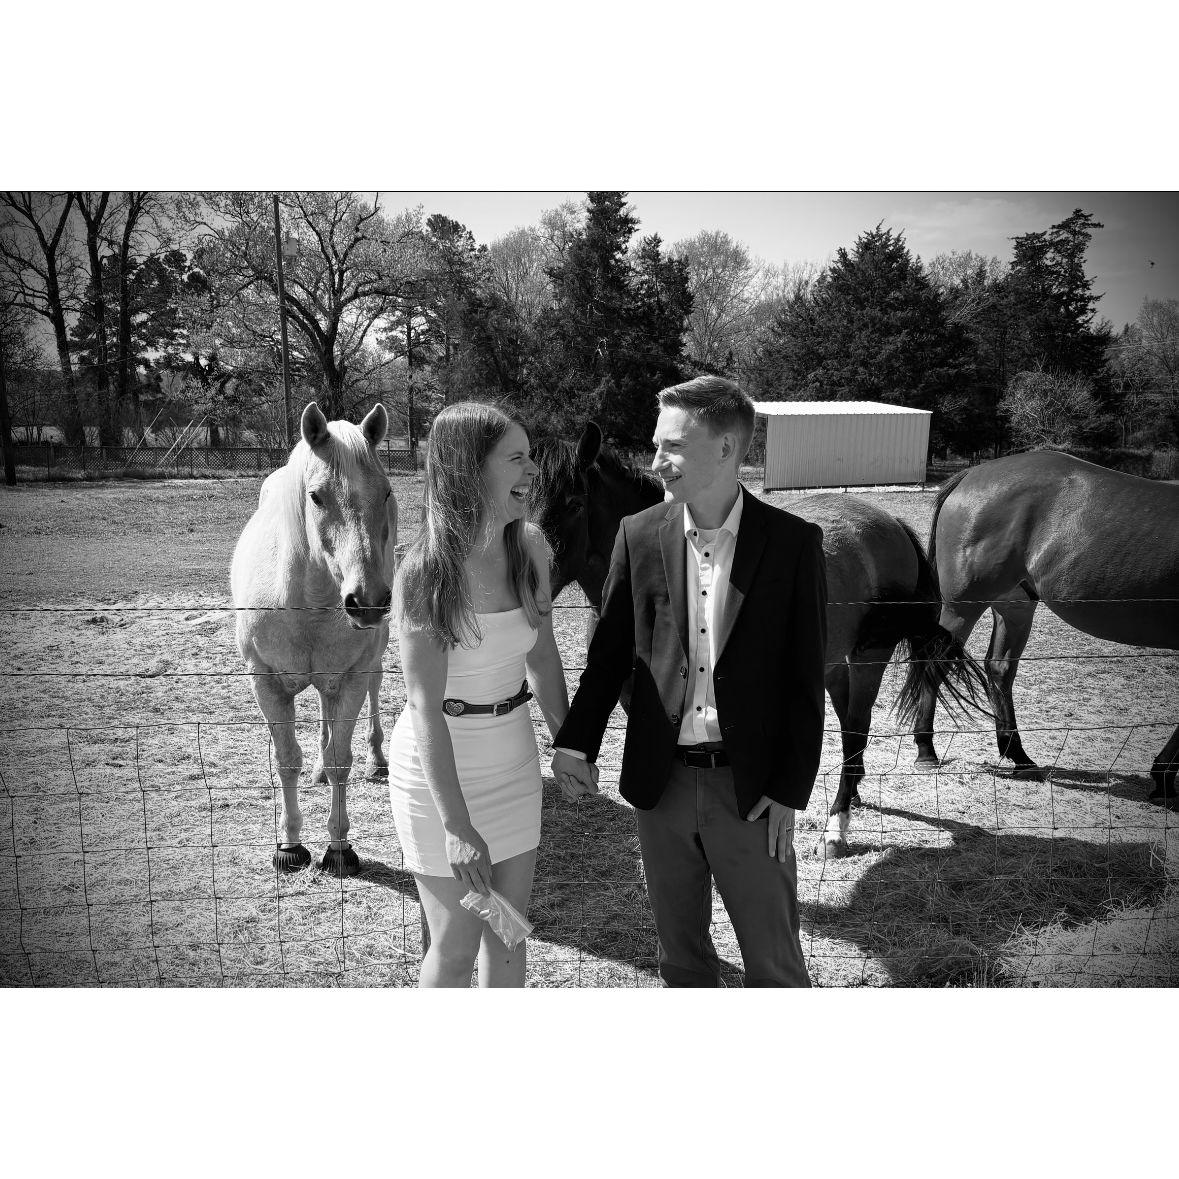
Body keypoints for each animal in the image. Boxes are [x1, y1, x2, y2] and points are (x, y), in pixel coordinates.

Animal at [231, 402, 398, 876]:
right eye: (316, 496)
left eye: (385, 493)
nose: (367, 601)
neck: (306, 604)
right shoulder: (265, 682)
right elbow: (287, 760)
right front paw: (289, 845)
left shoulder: (353, 676)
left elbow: (341, 759)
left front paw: (339, 848)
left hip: (371, 657)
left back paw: (376, 760)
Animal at [531, 422, 987, 858]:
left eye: (574, 504)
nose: (531, 586)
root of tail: (892, 524)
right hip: (830, 665)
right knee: (848, 729)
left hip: (867, 658)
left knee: (857, 728)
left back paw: (836, 827)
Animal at [898, 450, 1179, 800]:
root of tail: (970, 475)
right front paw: (1164, 778)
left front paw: (1164, 777)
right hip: (963, 607)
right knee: (936, 665)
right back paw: (926, 750)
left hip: (1015, 607)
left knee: (999, 668)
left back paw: (1018, 755)